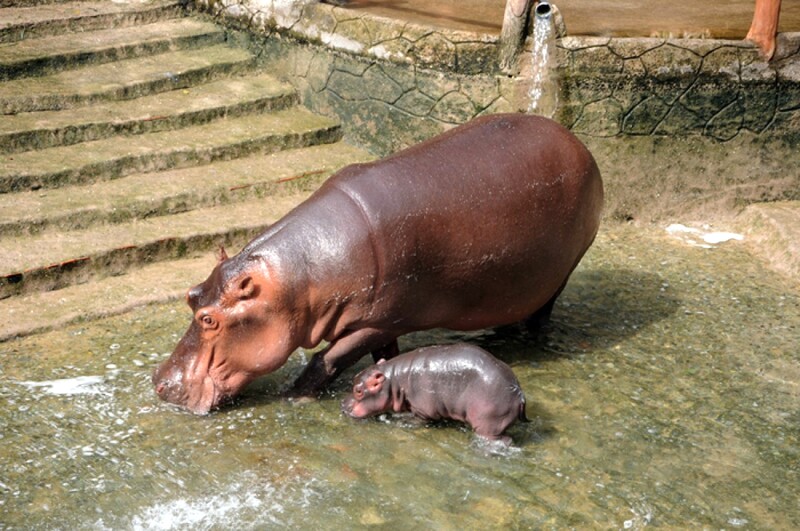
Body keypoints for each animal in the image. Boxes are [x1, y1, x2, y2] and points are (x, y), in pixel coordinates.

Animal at [152, 113, 600, 416]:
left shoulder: (378, 320)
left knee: (544, 309)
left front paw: (293, 397)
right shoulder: (387, 324)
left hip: (564, 269)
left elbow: (327, 358)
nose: (159, 382)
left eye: (208, 319)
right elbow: (383, 355)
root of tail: (578, 143)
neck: (299, 281)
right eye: (191, 294)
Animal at [340, 344, 528, 444]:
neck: (394, 380)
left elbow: (418, 420)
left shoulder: (422, 410)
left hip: (489, 425)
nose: (342, 404)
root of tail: (519, 394)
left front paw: (402, 420)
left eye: (358, 391)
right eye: (355, 378)